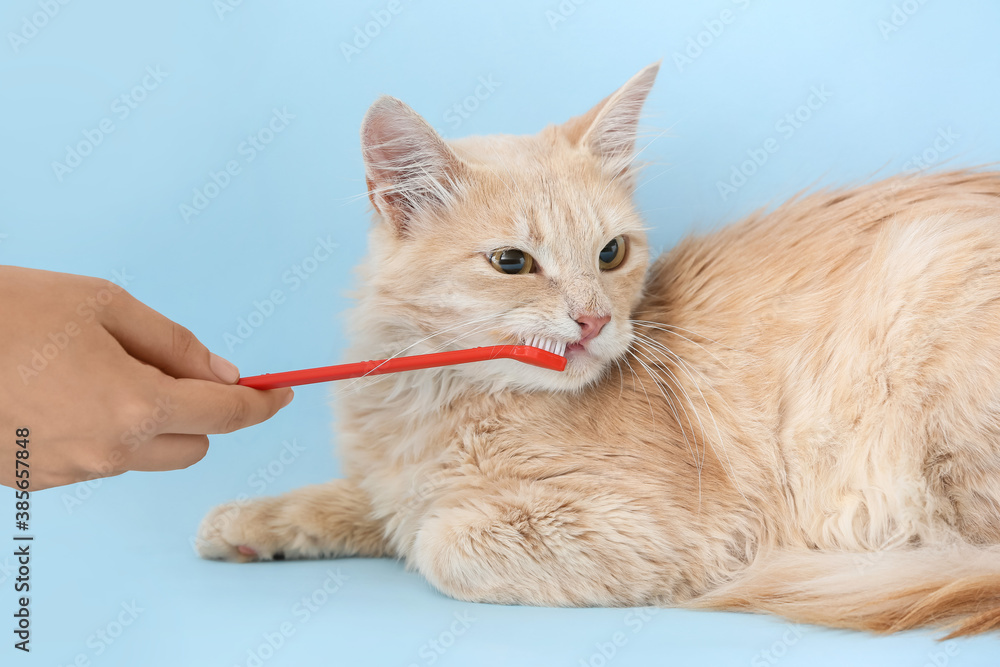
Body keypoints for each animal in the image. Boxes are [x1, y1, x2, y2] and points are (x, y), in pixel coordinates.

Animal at [197, 64, 1000, 640]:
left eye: (610, 252)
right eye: (512, 263)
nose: (592, 320)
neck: (436, 401)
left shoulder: (666, 530)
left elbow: (435, 541)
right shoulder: (390, 477)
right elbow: (359, 500)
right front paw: (247, 524)